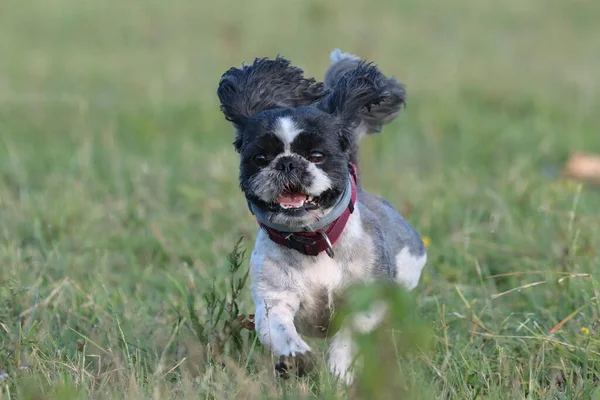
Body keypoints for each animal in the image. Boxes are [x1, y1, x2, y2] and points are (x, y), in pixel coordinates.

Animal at [216, 48, 426, 382]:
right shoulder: (273, 296)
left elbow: (350, 333)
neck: (312, 241)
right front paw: (295, 357)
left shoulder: (367, 297)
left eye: (317, 156)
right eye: (260, 158)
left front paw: (340, 370)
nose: (287, 163)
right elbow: (278, 326)